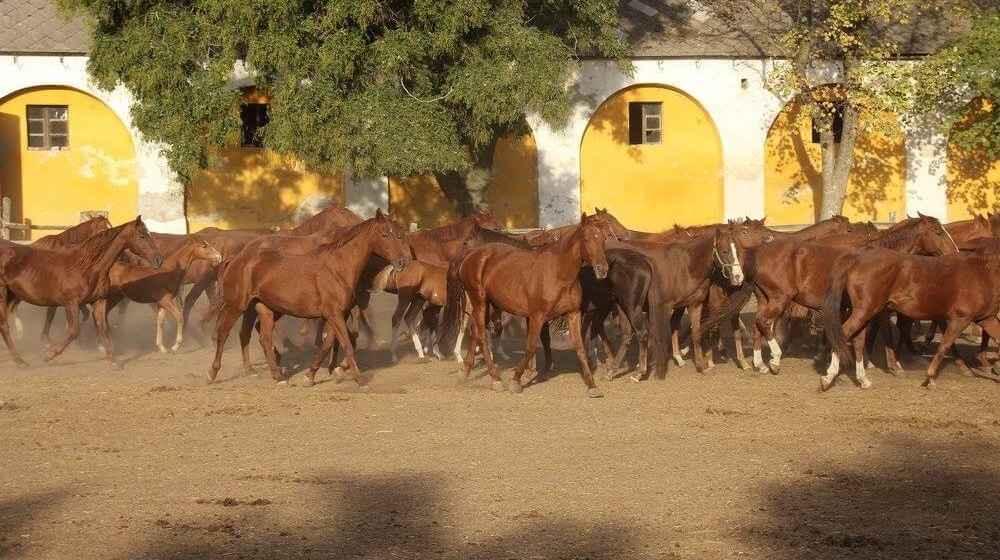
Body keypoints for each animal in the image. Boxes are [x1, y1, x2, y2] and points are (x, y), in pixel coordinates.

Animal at [95, 236, 223, 354]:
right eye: (204, 246)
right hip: (110, 298)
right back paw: (104, 346)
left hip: (115, 298)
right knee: (100, 316)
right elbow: (179, 317)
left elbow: (160, 322)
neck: (170, 271)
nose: (219, 256)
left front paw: (162, 347)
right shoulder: (166, 300)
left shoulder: (162, 303)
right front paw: (175, 346)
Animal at [207, 210, 410, 384]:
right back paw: (213, 373)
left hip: (266, 308)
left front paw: (312, 374)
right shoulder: (334, 314)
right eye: (386, 234)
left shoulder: (336, 315)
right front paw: (358, 378)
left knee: (264, 336)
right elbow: (346, 343)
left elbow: (329, 343)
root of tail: (237, 258)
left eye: (400, 233)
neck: (338, 267)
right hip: (237, 305)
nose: (403, 261)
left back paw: (278, 375)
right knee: (224, 333)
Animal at [438, 212, 616, 396]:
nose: (602, 269)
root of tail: (471, 256)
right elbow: (530, 347)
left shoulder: (573, 314)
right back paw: (495, 379)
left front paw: (592, 386)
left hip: (486, 304)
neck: (558, 273)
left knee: (475, 332)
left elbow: (579, 348)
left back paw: (466, 373)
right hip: (479, 301)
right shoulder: (537, 316)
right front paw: (517, 380)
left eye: (604, 238)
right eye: (587, 238)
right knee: (481, 335)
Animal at [824, 250, 1000, 390]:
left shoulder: (987, 319)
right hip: (865, 310)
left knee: (857, 340)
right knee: (843, 334)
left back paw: (863, 380)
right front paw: (929, 379)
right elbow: (944, 346)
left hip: (867, 312)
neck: (983, 275)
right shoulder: (960, 319)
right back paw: (828, 378)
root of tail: (857, 258)